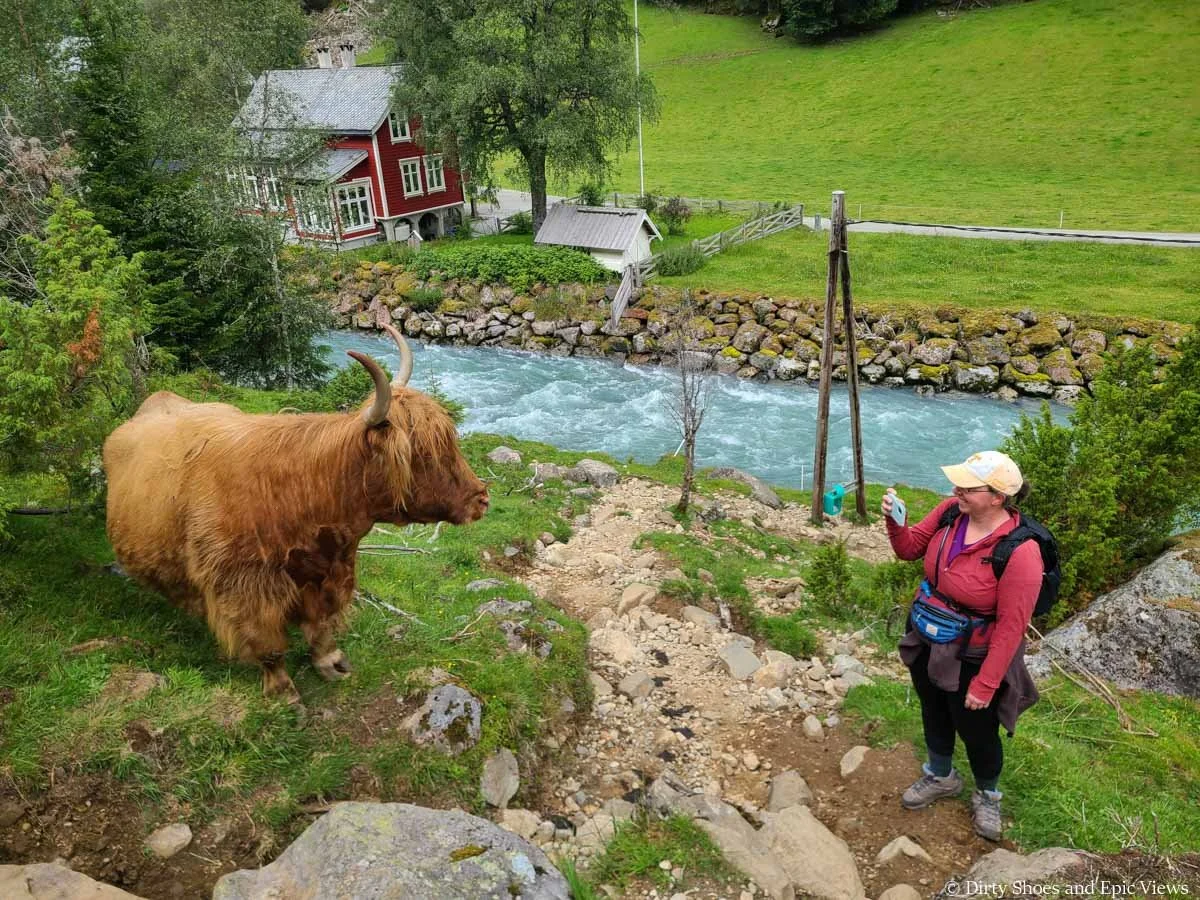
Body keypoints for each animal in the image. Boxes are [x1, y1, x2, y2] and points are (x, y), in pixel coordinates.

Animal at [103, 325, 489, 705]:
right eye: (423, 453)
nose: (481, 498)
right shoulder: (244, 587)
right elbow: (268, 644)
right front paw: (284, 692)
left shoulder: (330, 572)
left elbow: (321, 623)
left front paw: (332, 663)